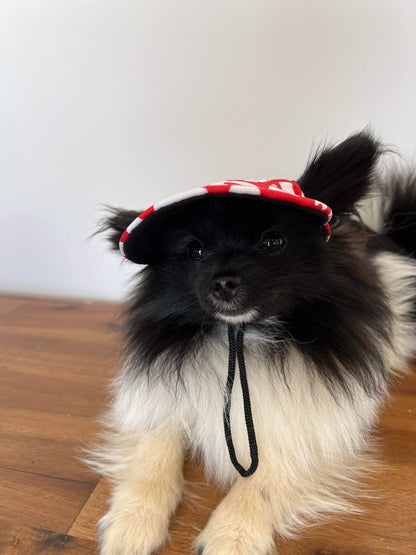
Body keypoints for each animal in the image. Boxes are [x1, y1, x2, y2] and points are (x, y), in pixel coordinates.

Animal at [88, 131, 416, 555]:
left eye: (272, 242)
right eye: (195, 251)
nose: (224, 281)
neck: (241, 337)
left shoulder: (309, 422)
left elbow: (264, 477)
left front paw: (233, 535)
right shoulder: (162, 398)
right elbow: (154, 450)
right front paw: (132, 520)